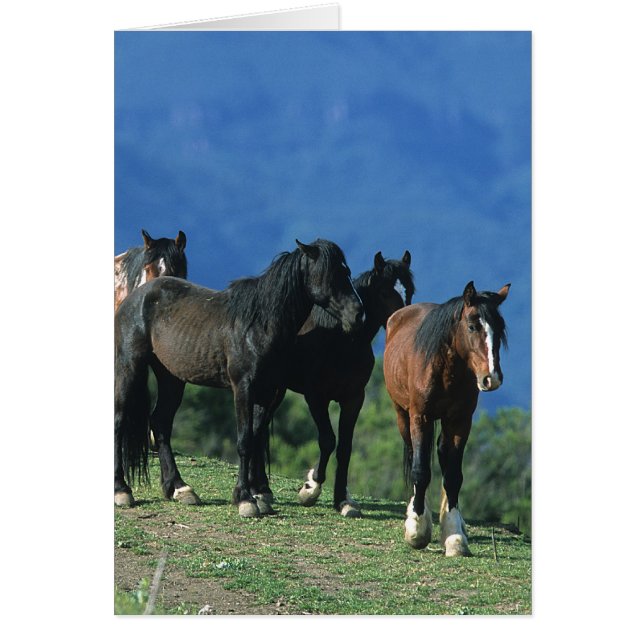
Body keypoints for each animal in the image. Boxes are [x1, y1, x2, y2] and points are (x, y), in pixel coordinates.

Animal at [114, 239, 364, 519]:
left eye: (346, 271)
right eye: (330, 274)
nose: (357, 314)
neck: (259, 325)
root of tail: (136, 296)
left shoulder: (268, 392)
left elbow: (255, 438)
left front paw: (258, 496)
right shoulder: (243, 388)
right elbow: (244, 441)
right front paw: (245, 499)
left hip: (172, 378)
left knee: (160, 422)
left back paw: (179, 488)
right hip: (130, 366)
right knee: (120, 420)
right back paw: (122, 490)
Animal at [272, 251, 414, 518]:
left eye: (409, 291)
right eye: (384, 292)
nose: (404, 323)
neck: (341, 340)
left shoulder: (354, 399)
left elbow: (345, 447)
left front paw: (342, 500)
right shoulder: (316, 397)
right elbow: (328, 440)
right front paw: (310, 488)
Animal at [383, 281, 510, 556]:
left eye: (500, 329)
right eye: (472, 326)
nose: (491, 378)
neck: (445, 370)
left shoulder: (460, 422)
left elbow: (452, 476)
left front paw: (454, 535)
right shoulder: (420, 417)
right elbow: (420, 470)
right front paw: (417, 528)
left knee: (442, 457)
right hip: (403, 416)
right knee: (414, 454)